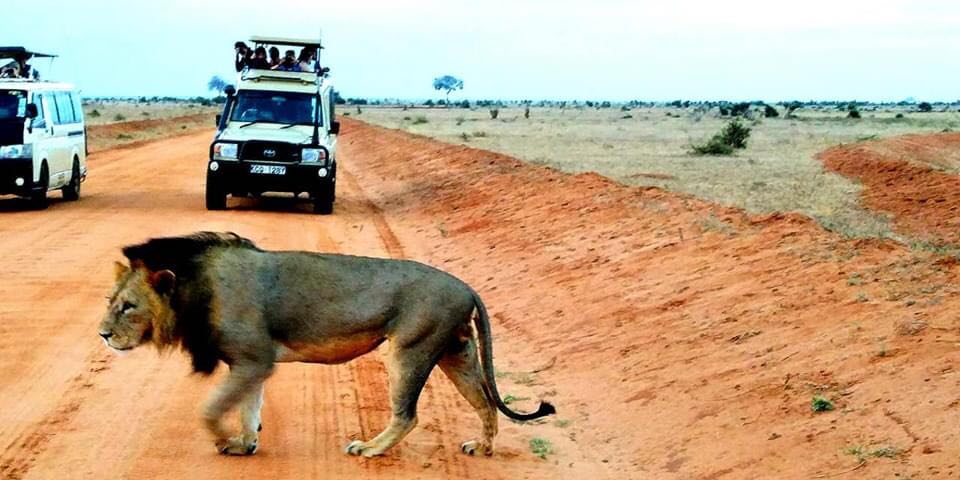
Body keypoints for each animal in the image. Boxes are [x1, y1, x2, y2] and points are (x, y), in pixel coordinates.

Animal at [98, 232, 555, 457]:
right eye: (110, 302)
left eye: (128, 306)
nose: (102, 334)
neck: (195, 286)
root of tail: (467, 286)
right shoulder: (250, 364)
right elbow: (248, 408)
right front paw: (245, 443)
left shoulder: (254, 359)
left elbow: (210, 410)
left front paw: (225, 441)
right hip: (456, 352)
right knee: (485, 403)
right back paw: (482, 446)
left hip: (410, 349)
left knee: (408, 415)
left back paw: (369, 449)